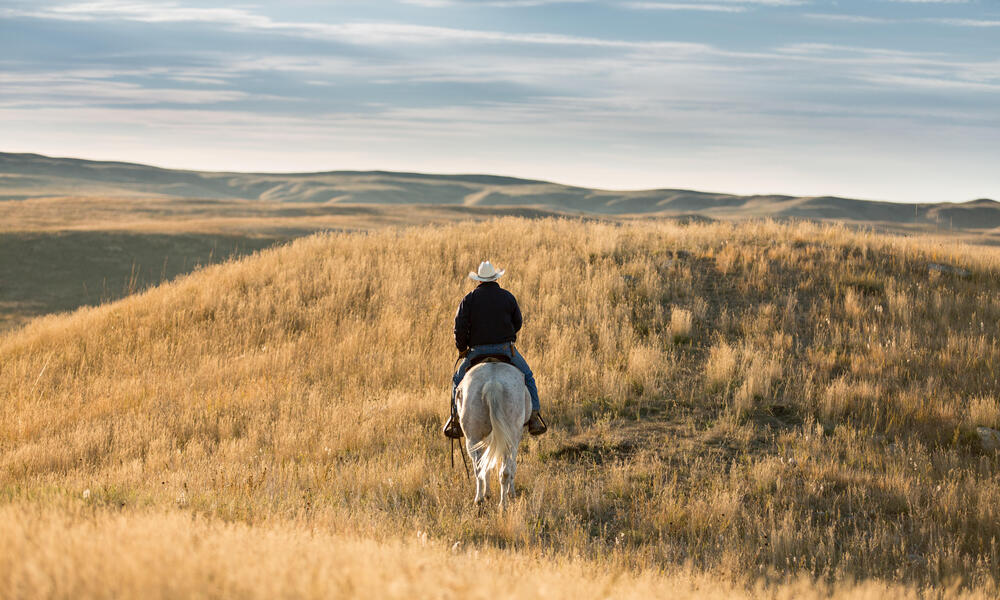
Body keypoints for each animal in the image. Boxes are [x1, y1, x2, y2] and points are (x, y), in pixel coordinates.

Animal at [456, 358, 532, 508]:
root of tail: (492, 384)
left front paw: (488, 493)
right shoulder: (516, 438)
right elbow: (512, 466)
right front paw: (511, 493)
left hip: (473, 438)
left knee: (479, 468)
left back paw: (479, 499)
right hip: (509, 439)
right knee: (505, 471)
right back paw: (503, 504)